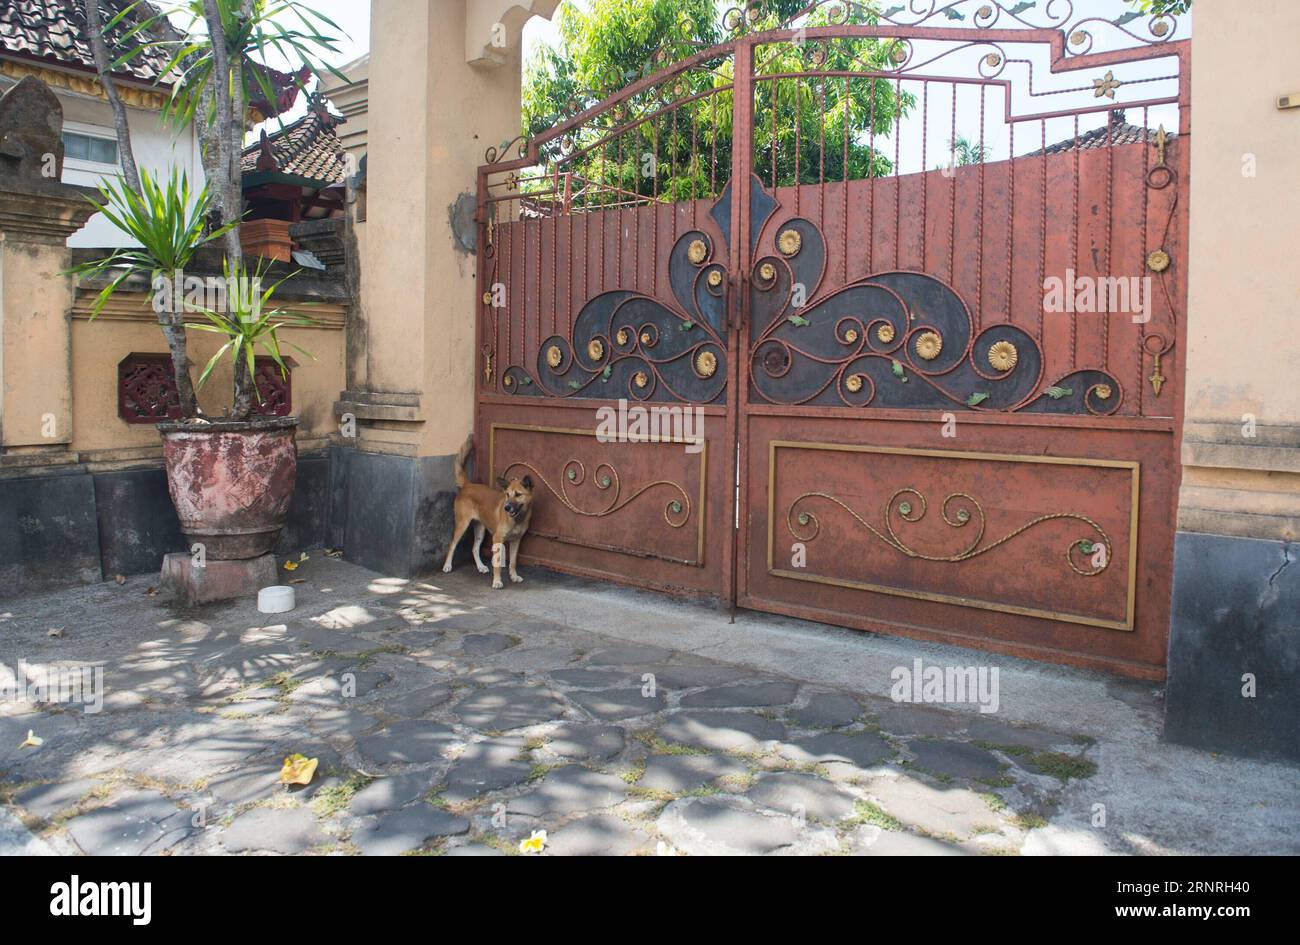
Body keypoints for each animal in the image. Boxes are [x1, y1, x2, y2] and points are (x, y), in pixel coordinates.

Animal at [441, 436, 533, 587]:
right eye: (507, 494)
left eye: (518, 494)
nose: (507, 508)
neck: (517, 518)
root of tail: (468, 485)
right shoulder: (497, 538)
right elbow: (497, 564)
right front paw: (497, 581)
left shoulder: (516, 541)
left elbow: (513, 562)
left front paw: (514, 576)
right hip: (462, 525)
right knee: (452, 545)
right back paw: (447, 566)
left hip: (480, 528)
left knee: (474, 548)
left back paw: (480, 566)